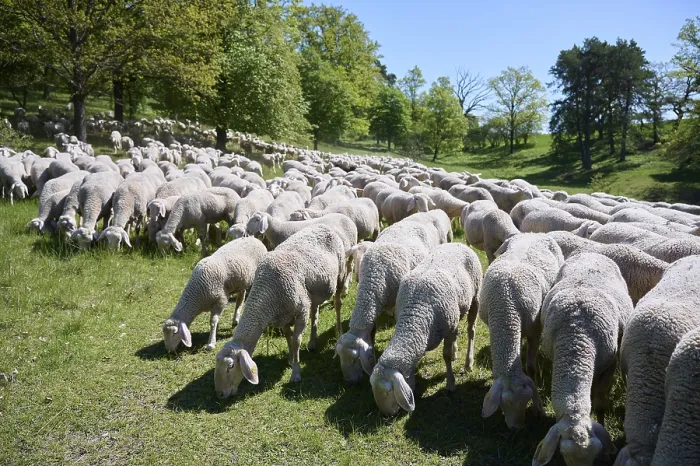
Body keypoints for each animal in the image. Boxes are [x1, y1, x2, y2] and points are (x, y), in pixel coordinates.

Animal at [214, 225, 351, 397]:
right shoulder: (283, 316)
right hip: (311, 293)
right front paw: (291, 359)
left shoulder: (301, 311)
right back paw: (312, 342)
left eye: (230, 367)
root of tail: (324, 226)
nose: (219, 394)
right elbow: (287, 336)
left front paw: (296, 373)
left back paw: (338, 331)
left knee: (338, 304)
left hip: (340, 275)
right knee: (315, 311)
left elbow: (296, 340)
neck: (267, 291)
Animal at [370, 243, 482, 415]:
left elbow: (446, 356)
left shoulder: (449, 328)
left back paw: (468, 362)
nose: (386, 415)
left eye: (388, 391)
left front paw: (450, 384)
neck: (415, 315)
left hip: (475, 297)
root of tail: (459, 244)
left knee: (471, 330)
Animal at [481, 233, 564, 430]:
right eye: (505, 403)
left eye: (526, 401)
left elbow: (531, 368)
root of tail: (533, 233)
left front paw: (539, 408)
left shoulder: (535, 332)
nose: (516, 428)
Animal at [532, 252, 632, 466]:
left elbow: (600, 402)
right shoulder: (555, 357)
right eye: (563, 455)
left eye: (594, 457)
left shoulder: (609, 365)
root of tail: (591, 252)